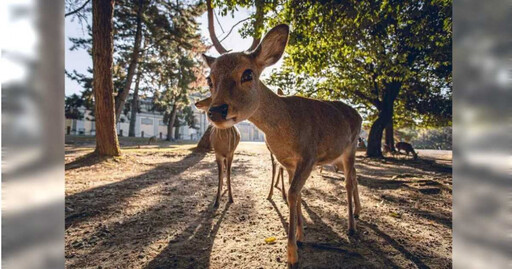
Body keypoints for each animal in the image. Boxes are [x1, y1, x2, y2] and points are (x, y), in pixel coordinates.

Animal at [202, 23, 362, 266]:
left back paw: (351, 227)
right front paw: (301, 236)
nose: (216, 111)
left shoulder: (309, 156)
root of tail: (359, 115)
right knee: (354, 176)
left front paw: (292, 255)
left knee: (348, 182)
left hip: (351, 148)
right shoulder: (287, 162)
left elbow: (294, 193)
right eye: (209, 80)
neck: (286, 127)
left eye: (247, 73)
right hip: (340, 156)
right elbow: (294, 193)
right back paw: (357, 214)